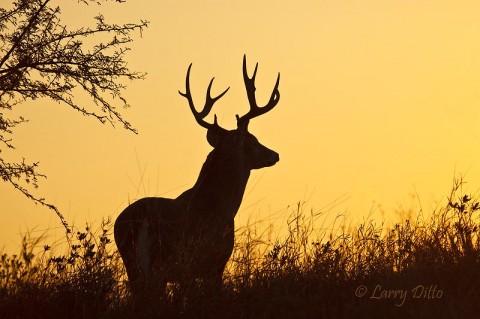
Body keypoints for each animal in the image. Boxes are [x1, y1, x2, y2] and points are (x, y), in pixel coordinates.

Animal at [114, 54, 280, 292]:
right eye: (254, 141)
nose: (274, 155)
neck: (221, 206)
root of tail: (142, 221)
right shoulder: (214, 263)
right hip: (167, 259)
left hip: (133, 264)